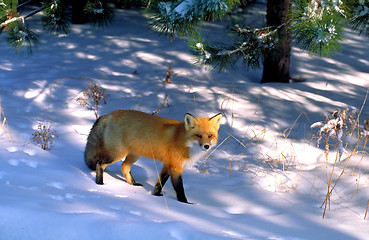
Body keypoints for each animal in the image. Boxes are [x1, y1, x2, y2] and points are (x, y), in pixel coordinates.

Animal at [84, 110, 221, 202]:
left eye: (210, 136)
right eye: (198, 135)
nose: (206, 146)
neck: (184, 141)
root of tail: (109, 114)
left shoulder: (168, 164)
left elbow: (159, 183)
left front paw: (156, 196)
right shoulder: (176, 167)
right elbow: (179, 188)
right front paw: (185, 203)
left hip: (134, 155)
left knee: (124, 167)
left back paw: (133, 184)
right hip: (117, 154)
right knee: (100, 164)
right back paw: (100, 184)